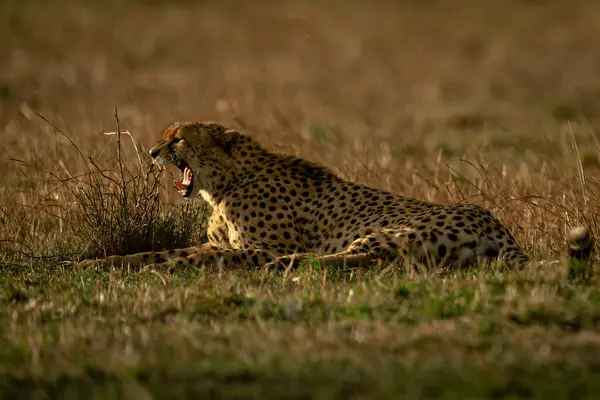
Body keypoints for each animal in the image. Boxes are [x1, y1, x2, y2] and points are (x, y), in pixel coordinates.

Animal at [77, 122, 592, 272]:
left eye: (179, 139)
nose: (152, 151)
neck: (224, 184)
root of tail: (497, 225)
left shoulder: (254, 246)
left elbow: (192, 257)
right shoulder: (216, 240)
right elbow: (162, 251)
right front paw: (98, 263)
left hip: (388, 232)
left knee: (338, 259)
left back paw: (283, 267)